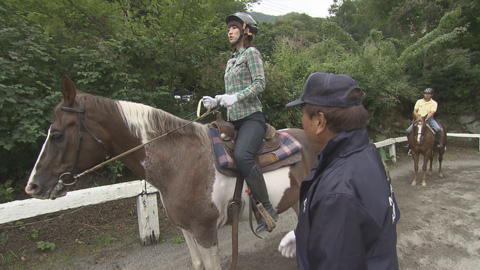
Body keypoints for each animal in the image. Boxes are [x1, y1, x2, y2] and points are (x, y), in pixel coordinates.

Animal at [25, 76, 318, 270]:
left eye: (57, 134)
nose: (33, 186)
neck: (179, 163)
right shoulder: (186, 229)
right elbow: (198, 265)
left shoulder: (205, 232)